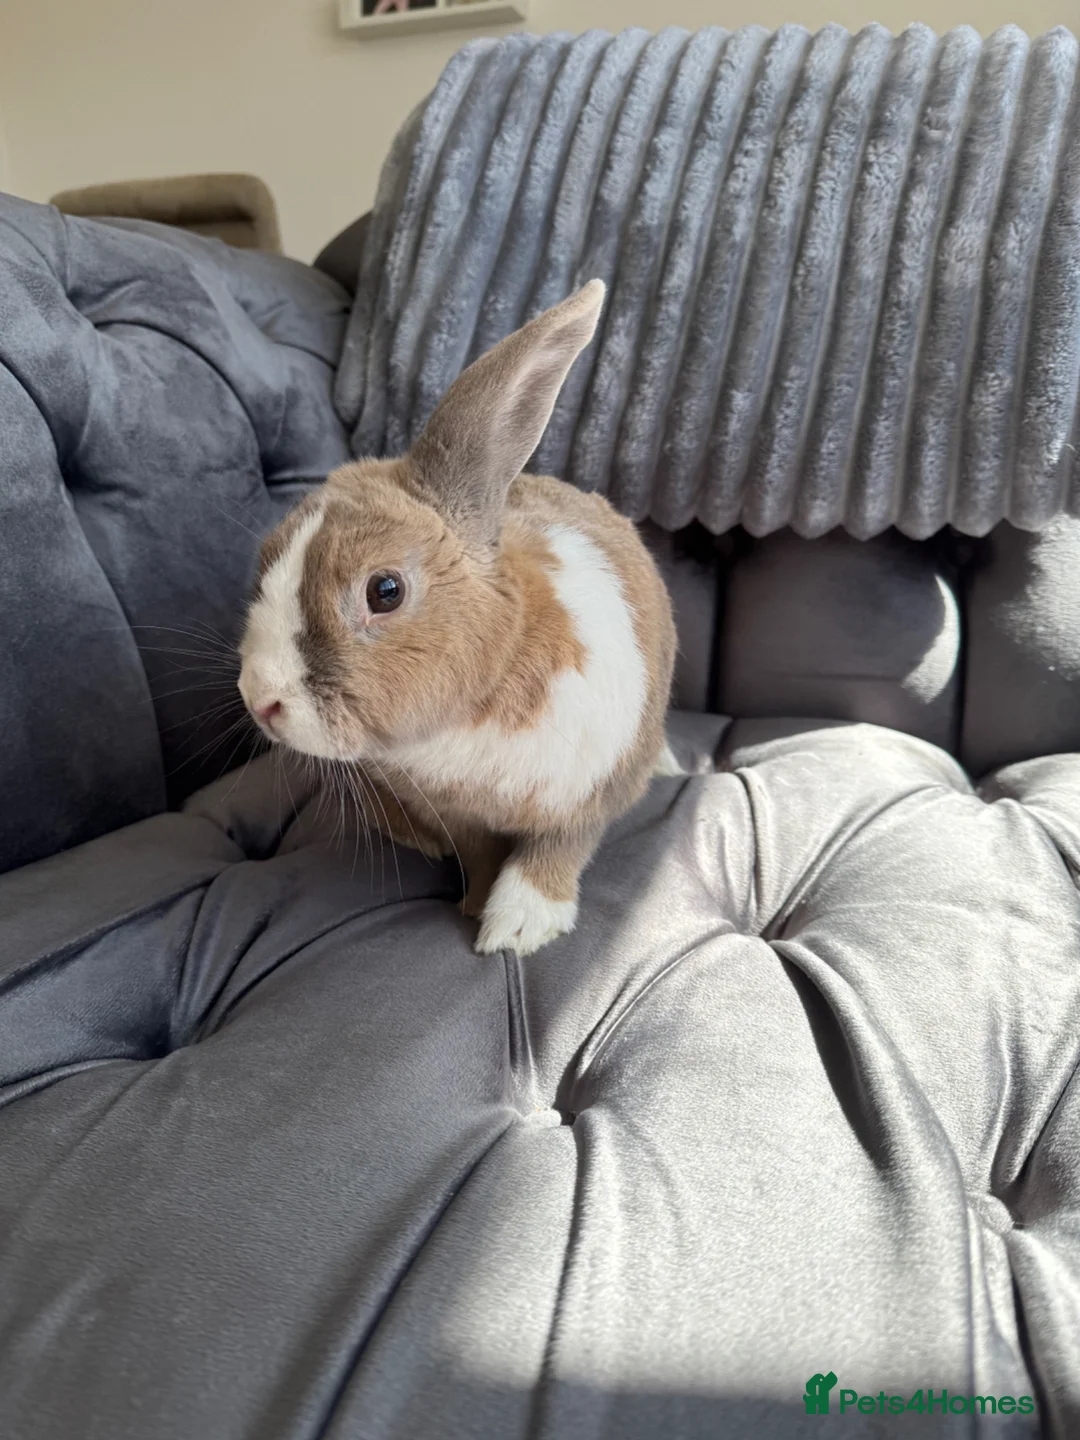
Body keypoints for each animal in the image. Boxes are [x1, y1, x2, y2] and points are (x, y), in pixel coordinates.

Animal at [238, 279, 677, 956]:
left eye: (384, 590)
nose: (259, 698)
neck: (468, 714)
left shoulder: (593, 787)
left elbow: (560, 848)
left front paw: (518, 925)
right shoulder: (451, 811)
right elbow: (478, 852)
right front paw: (477, 902)